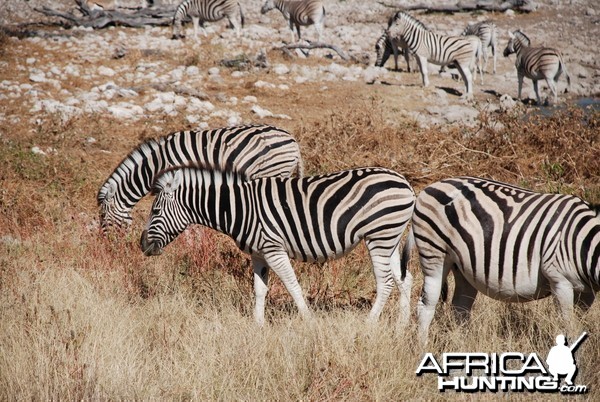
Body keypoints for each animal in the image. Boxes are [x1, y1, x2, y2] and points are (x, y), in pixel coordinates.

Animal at [139, 166, 418, 326]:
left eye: (155, 211)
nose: (142, 245)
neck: (239, 208)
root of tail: (405, 182)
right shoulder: (258, 253)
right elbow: (260, 289)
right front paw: (258, 326)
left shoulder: (273, 248)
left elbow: (292, 285)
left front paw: (309, 322)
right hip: (390, 239)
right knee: (405, 279)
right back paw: (402, 326)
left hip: (380, 236)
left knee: (386, 282)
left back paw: (369, 324)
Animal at [404, 177, 600, 340]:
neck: (584, 242)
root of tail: (434, 184)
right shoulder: (560, 280)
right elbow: (570, 328)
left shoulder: (587, 291)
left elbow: (579, 327)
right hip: (433, 254)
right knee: (426, 306)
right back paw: (423, 348)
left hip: (462, 268)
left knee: (460, 309)